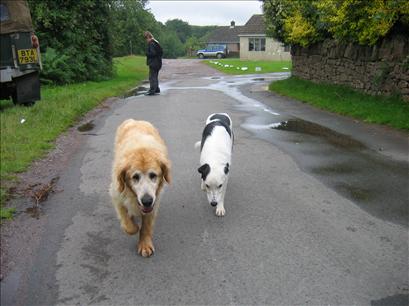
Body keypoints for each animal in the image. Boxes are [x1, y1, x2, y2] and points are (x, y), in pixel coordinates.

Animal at [108, 118, 171, 256]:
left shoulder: (154, 202)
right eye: (135, 177)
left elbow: (146, 226)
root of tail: (135, 120)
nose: (146, 201)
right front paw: (133, 226)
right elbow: (128, 225)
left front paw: (145, 244)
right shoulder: (116, 195)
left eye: (153, 175)